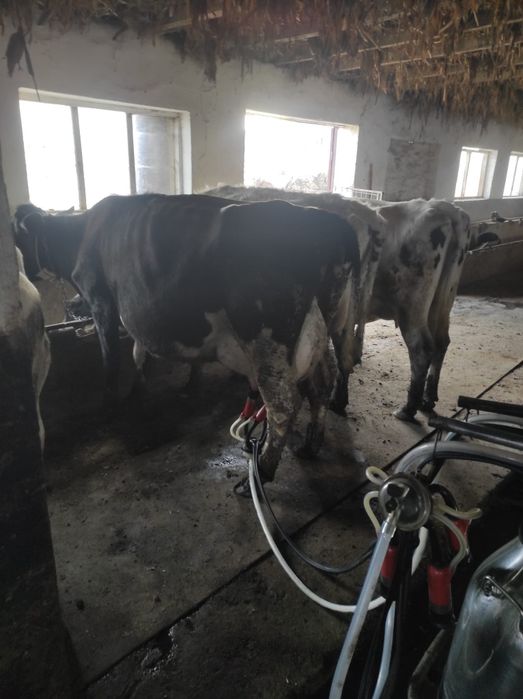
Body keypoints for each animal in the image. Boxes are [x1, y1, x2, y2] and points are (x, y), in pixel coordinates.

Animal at [71, 193, 360, 482]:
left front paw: (111, 404)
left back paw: (262, 470)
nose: (72, 304)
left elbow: (111, 357)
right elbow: (137, 351)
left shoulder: (99, 298)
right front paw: (137, 389)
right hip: (321, 327)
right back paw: (310, 446)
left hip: (265, 334)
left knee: (284, 404)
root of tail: (331, 222)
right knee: (323, 383)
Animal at [206, 186, 470, 422]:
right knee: (440, 342)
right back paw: (426, 399)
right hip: (440, 305)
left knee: (420, 348)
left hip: (409, 308)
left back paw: (406, 408)